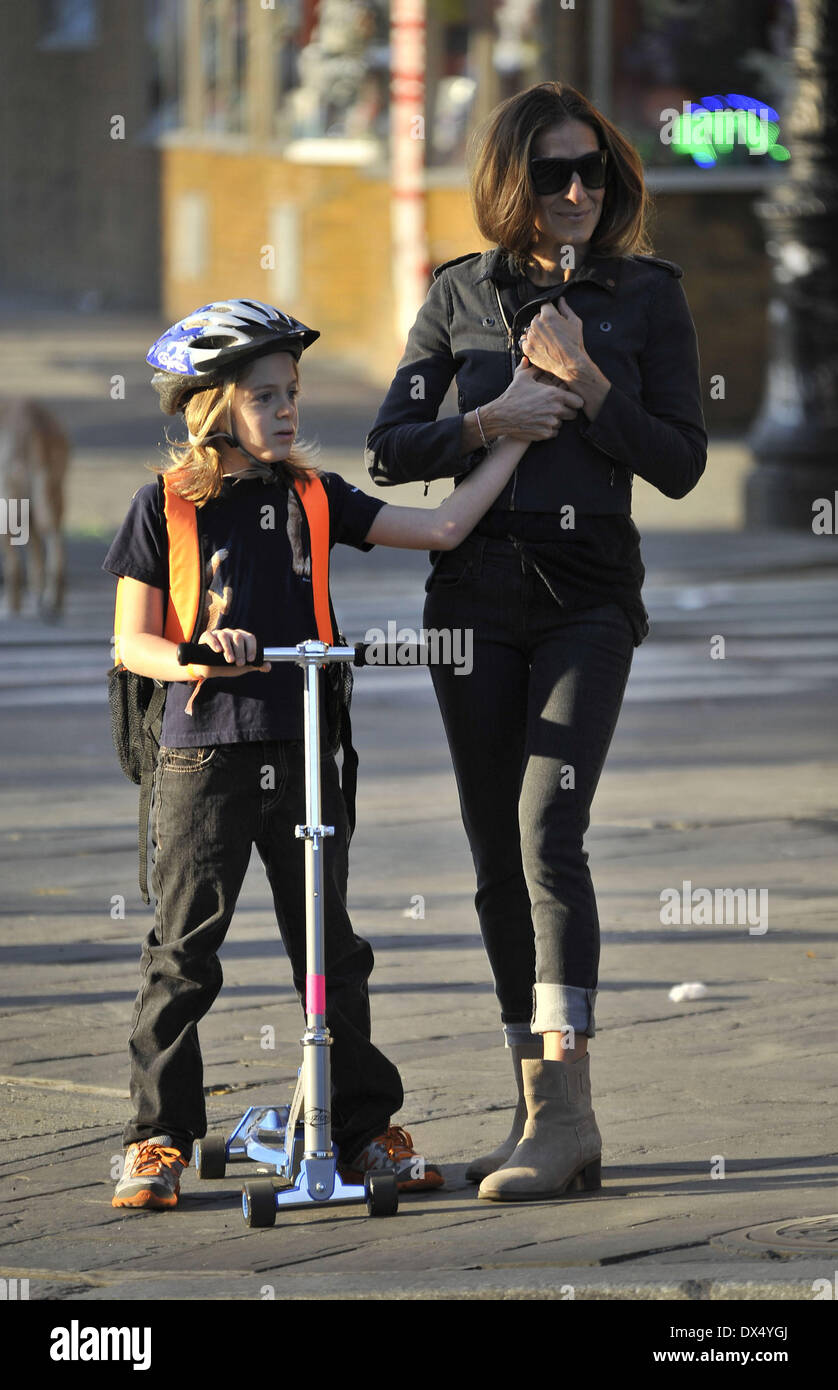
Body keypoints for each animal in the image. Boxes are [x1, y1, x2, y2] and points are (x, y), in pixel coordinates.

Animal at [0, 403, 69, 619]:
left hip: (9, 500)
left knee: (13, 564)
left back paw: (12, 606)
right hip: (55, 493)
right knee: (54, 540)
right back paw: (53, 600)